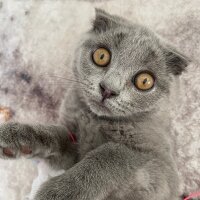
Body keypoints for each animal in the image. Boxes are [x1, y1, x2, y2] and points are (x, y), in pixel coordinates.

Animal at [0, 9, 191, 200]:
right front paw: (16, 137)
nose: (108, 89)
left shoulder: (162, 171)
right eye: (101, 56)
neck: (94, 120)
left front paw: (57, 192)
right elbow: (59, 135)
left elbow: (114, 153)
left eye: (144, 81)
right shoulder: (70, 151)